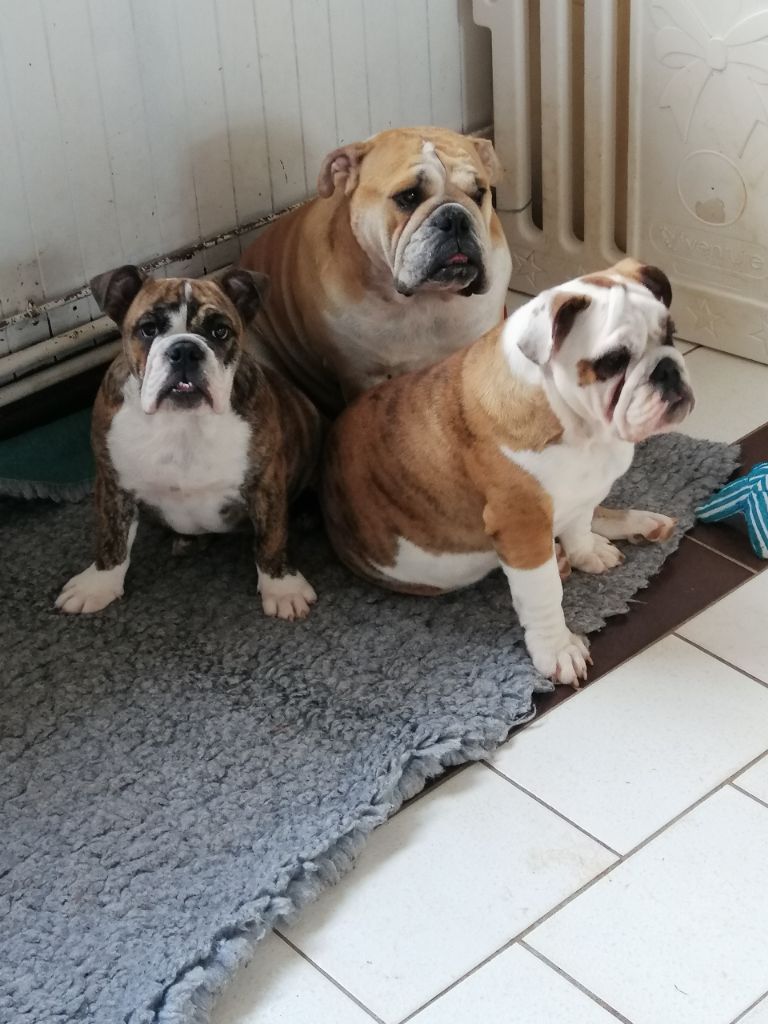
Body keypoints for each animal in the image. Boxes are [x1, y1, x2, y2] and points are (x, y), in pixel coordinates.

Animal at [54, 268, 325, 618]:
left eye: (220, 331)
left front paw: (281, 587)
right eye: (148, 329)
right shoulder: (113, 484)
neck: (182, 421)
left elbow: (271, 537)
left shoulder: (266, 484)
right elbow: (111, 536)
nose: (184, 349)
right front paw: (99, 583)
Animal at [321, 260, 696, 684]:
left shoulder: (579, 495)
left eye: (671, 334)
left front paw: (585, 552)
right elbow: (545, 594)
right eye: (613, 362)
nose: (666, 369)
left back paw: (638, 526)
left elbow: (580, 525)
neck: (581, 428)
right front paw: (558, 650)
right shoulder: (521, 524)